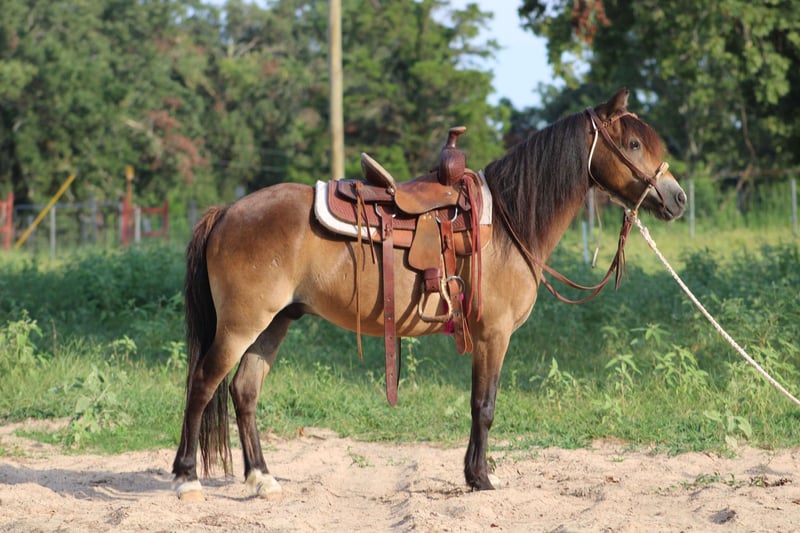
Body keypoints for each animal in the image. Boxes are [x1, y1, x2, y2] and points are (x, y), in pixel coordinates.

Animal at [171, 88, 687, 500]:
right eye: (634, 144)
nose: (678, 198)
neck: (508, 225)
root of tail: (227, 212)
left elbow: (480, 406)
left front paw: (475, 475)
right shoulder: (493, 335)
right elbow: (484, 406)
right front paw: (480, 478)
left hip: (275, 322)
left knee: (244, 390)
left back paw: (262, 479)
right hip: (241, 325)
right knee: (202, 384)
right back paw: (187, 479)